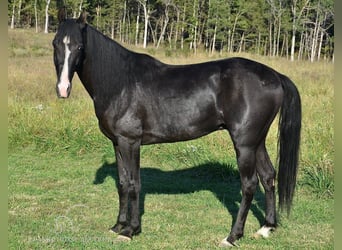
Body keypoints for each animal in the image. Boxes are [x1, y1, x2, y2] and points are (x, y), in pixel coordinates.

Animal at [52, 8, 300, 247]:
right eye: (56, 44)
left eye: (79, 46)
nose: (63, 89)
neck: (121, 83)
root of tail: (274, 75)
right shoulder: (117, 142)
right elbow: (122, 183)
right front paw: (118, 226)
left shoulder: (131, 142)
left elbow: (133, 184)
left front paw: (131, 231)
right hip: (257, 141)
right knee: (268, 176)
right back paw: (266, 228)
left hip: (244, 144)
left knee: (249, 185)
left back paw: (232, 236)